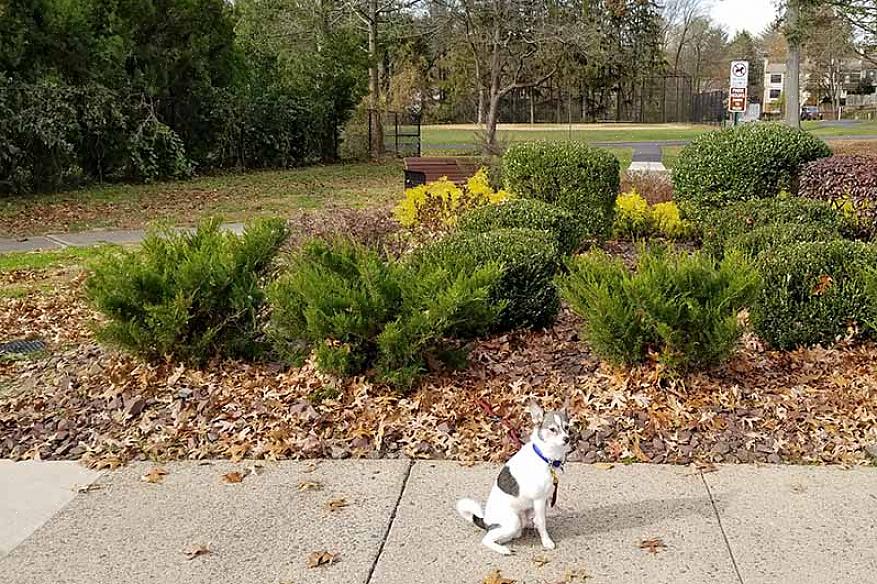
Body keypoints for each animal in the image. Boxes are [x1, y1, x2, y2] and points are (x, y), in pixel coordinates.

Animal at [456, 400, 572, 556]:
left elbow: (538, 519)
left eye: (567, 427)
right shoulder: (539, 500)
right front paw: (546, 541)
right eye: (552, 429)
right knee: (487, 539)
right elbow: (542, 522)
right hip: (512, 523)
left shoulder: (543, 500)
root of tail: (485, 521)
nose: (567, 439)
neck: (544, 457)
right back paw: (502, 549)